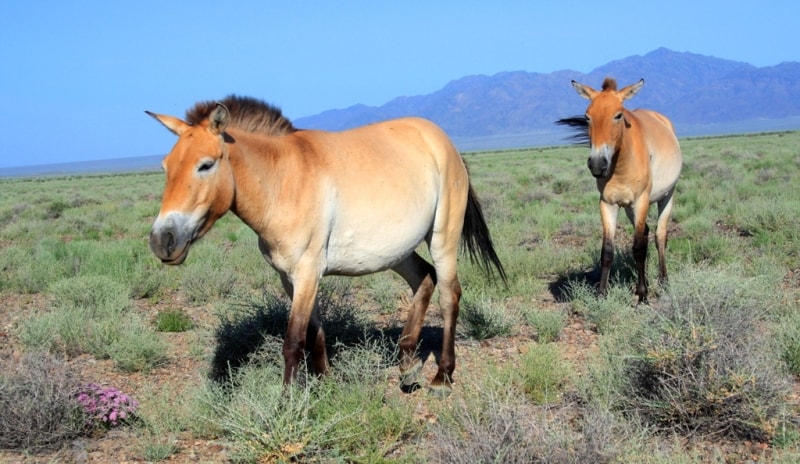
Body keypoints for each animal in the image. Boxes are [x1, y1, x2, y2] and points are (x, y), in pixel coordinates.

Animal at [146, 96, 504, 394]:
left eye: (205, 164)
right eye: (165, 167)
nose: (162, 241)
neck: (284, 181)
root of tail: (444, 143)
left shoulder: (306, 272)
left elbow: (292, 341)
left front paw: (287, 403)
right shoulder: (292, 278)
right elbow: (314, 332)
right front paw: (324, 382)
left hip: (442, 237)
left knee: (449, 295)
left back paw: (442, 376)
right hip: (396, 251)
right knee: (424, 279)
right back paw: (407, 365)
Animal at [556, 79, 680, 304]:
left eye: (618, 115)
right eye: (587, 116)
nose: (597, 164)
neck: (622, 165)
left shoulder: (641, 202)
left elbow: (638, 249)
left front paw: (642, 295)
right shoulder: (608, 204)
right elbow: (607, 251)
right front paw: (601, 294)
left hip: (667, 197)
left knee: (660, 236)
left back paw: (663, 282)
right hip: (630, 208)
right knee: (647, 232)